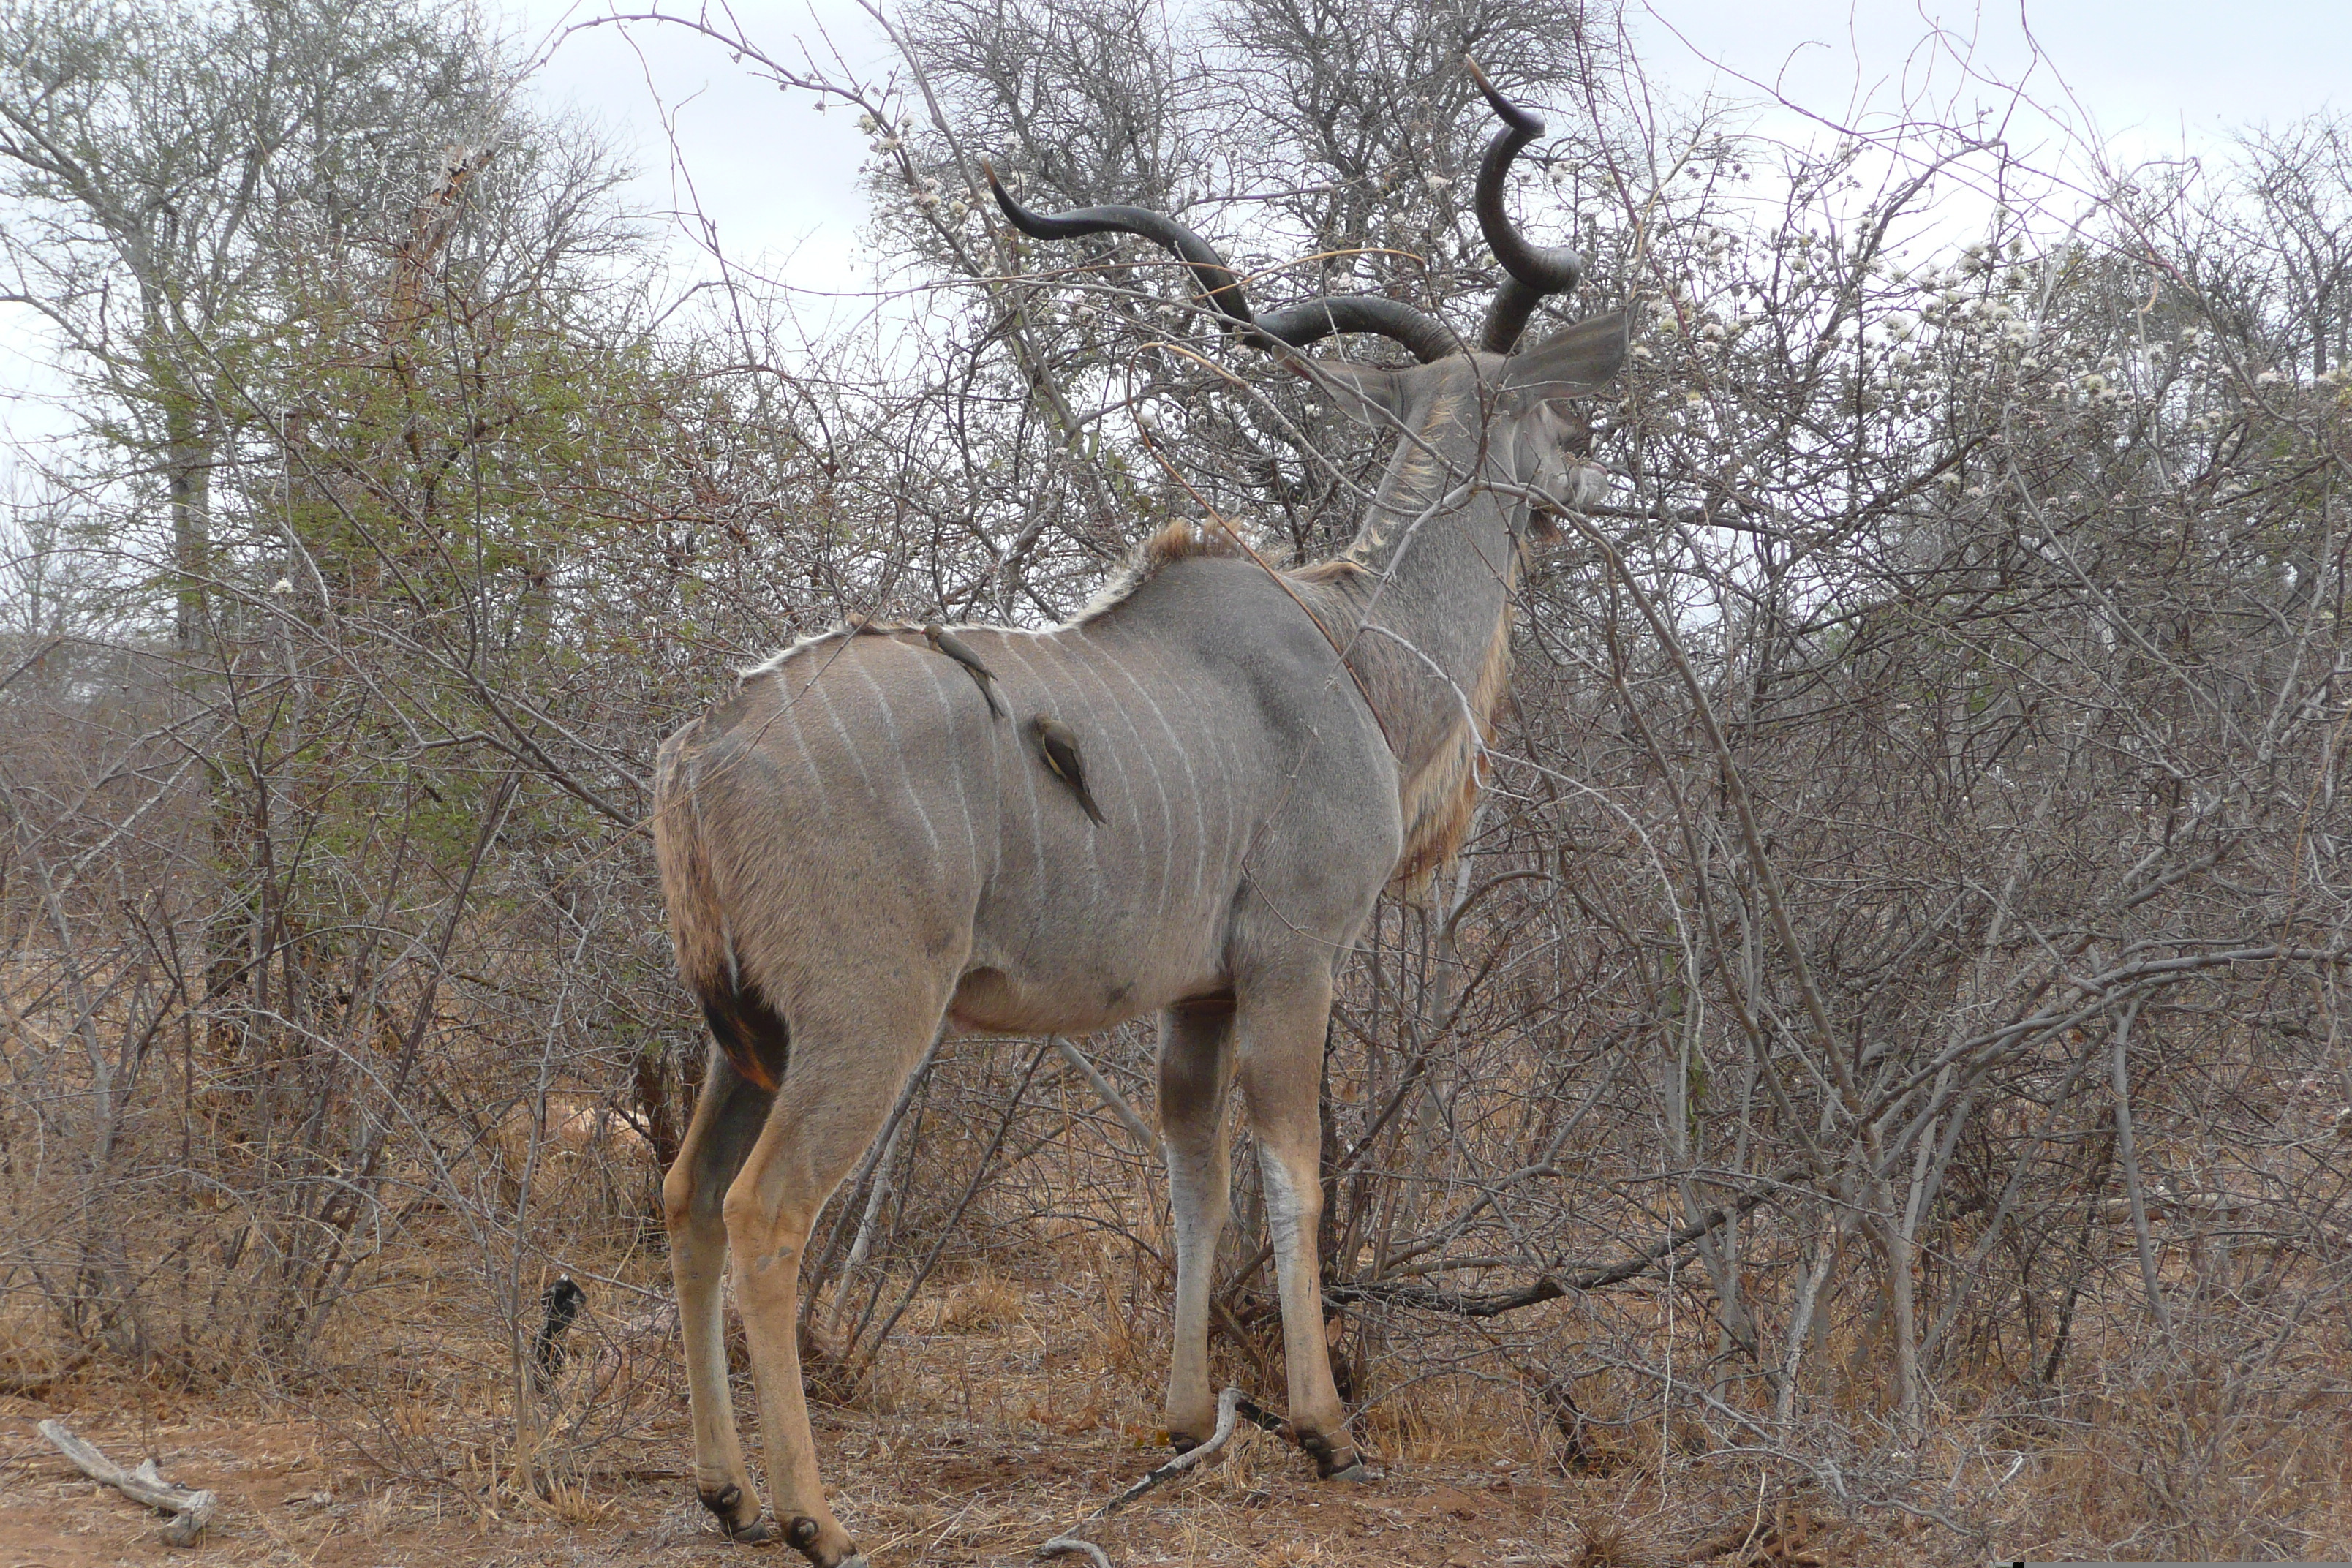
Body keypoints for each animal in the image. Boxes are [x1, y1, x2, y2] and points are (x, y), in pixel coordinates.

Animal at [654, 67, 1627, 1561]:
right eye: (1564, 421)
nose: (1581, 488)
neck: (1356, 644)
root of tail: (706, 747)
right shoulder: (1293, 959)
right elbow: (1289, 1166)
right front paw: (1323, 1428)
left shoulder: (1198, 994)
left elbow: (1192, 1168)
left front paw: (1182, 1420)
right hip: (862, 1022)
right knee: (767, 1213)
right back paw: (815, 1514)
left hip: (741, 1034)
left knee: (688, 1202)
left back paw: (724, 1489)